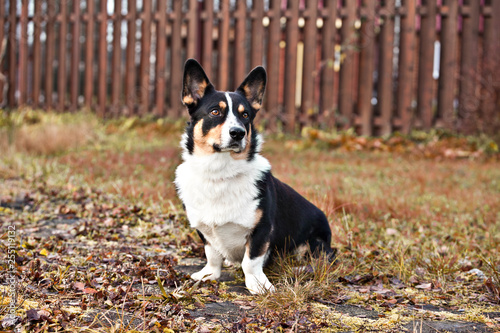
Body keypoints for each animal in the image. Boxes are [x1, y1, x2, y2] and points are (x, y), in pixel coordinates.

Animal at [174, 59, 334, 294]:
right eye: (215, 112)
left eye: (245, 115)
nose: (238, 133)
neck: (220, 172)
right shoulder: (204, 231)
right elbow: (212, 254)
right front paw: (209, 274)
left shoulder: (262, 229)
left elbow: (251, 260)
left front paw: (258, 285)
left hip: (316, 244)